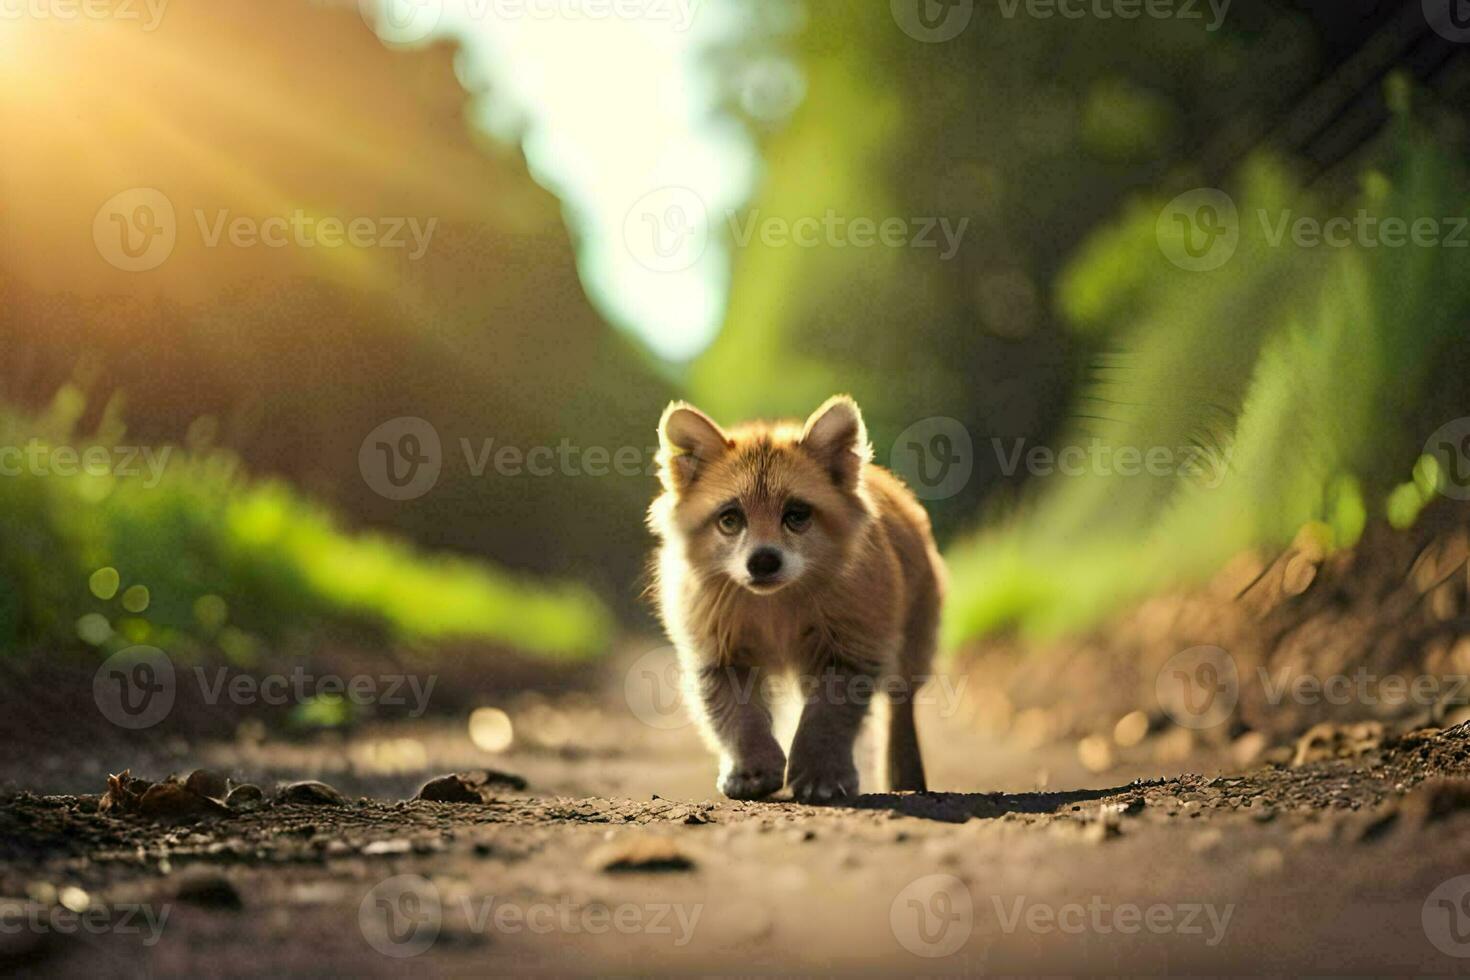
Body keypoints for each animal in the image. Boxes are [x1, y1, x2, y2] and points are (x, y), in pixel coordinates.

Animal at [649, 393, 946, 799]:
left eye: (797, 515)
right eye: (730, 519)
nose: (763, 560)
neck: (776, 609)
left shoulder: (852, 649)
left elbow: (826, 719)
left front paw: (821, 774)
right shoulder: (718, 655)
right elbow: (739, 719)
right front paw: (753, 769)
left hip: (911, 650)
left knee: (899, 708)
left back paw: (906, 778)